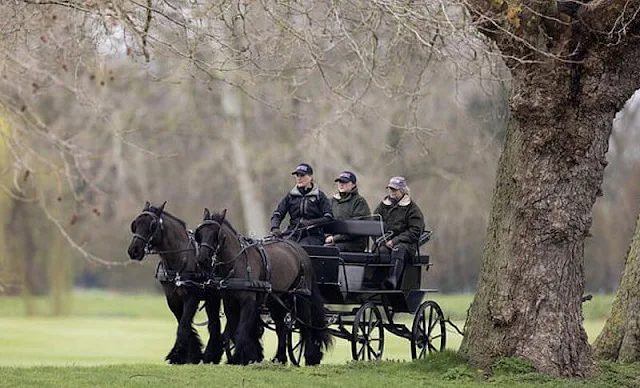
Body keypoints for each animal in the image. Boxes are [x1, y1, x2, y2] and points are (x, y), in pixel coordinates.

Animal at [125, 202, 225, 366]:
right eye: (135, 224)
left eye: (152, 225)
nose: (133, 250)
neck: (181, 258)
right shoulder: (172, 299)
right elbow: (183, 323)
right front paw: (190, 354)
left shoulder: (192, 297)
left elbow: (184, 325)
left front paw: (179, 354)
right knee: (214, 323)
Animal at [194, 208, 332, 366]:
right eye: (200, 233)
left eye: (216, 234)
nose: (202, 260)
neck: (237, 263)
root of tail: (302, 252)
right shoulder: (230, 303)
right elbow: (228, 334)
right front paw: (234, 359)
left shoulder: (248, 303)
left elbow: (240, 332)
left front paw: (239, 358)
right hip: (277, 301)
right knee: (281, 329)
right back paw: (280, 358)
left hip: (301, 296)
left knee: (306, 325)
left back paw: (310, 357)